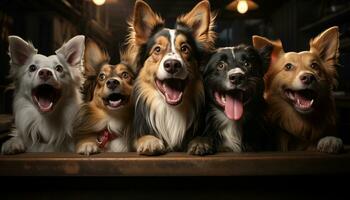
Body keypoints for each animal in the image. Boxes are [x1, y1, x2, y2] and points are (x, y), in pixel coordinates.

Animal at [129, 0, 216, 155]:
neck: (171, 110)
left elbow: (205, 137)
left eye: (185, 48)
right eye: (157, 49)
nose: (172, 65)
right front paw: (149, 140)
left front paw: (200, 142)